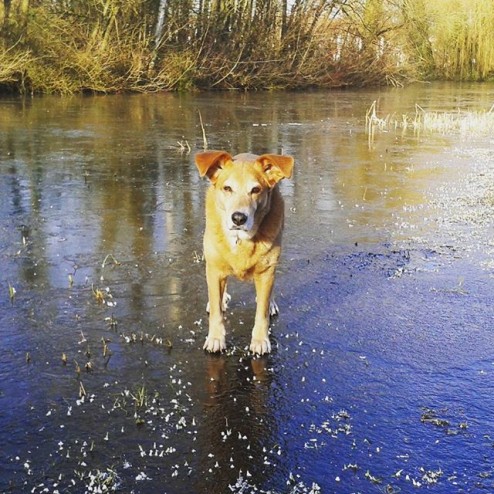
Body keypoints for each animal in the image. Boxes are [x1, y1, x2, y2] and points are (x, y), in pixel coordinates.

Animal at [194, 151, 294, 356]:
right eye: (227, 188)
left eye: (256, 190)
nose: (239, 218)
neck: (241, 239)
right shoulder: (214, 269)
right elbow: (216, 311)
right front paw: (215, 338)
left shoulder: (266, 272)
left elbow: (261, 313)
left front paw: (260, 340)